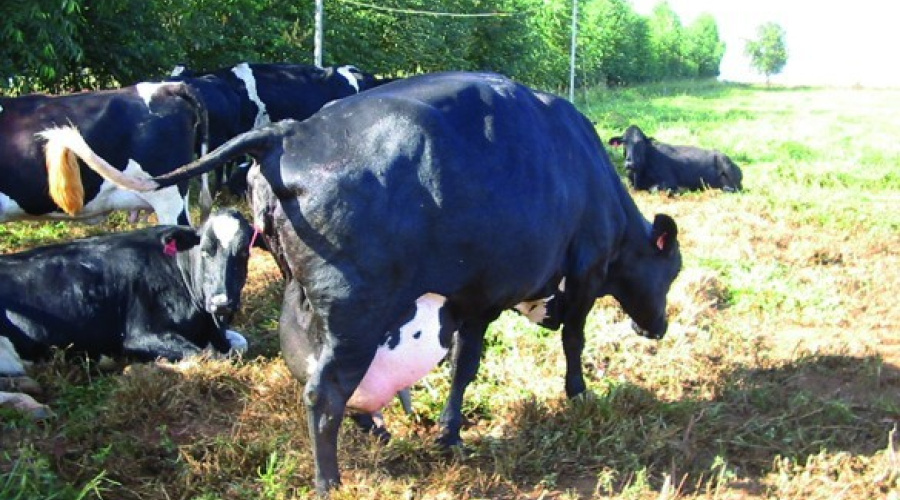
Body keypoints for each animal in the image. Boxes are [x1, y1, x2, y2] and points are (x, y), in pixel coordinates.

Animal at [0, 208, 252, 365]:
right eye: (205, 251)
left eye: (243, 253)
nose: (222, 303)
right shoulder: (140, 335)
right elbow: (207, 355)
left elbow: (240, 344)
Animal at [45, 71, 683, 495]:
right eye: (671, 269)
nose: (659, 328)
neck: (595, 179)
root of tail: (287, 132)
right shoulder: (583, 272)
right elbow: (572, 340)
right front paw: (578, 393)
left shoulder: (477, 296)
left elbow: (465, 364)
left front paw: (449, 433)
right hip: (356, 310)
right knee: (323, 392)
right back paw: (331, 479)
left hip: (309, 298)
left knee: (308, 369)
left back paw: (374, 428)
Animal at [608, 124, 743, 192]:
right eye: (624, 142)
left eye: (641, 143)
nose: (630, 164)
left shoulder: (669, 180)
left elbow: (654, 189)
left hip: (726, 164)